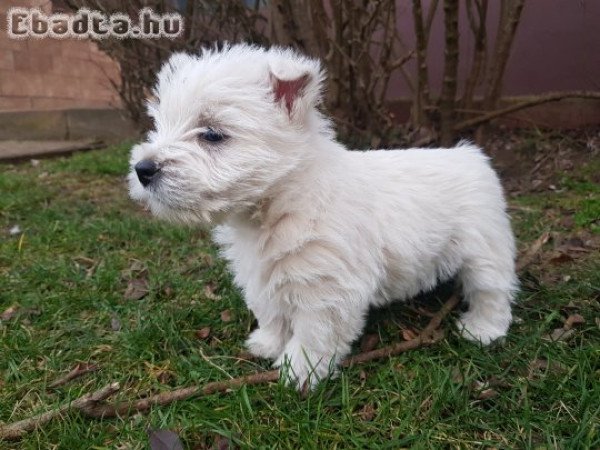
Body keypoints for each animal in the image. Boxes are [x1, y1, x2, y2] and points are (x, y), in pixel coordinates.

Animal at [129, 44, 516, 390]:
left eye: (211, 134)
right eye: (159, 124)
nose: (142, 169)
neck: (279, 204)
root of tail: (470, 155)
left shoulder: (325, 290)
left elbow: (313, 335)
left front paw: (297, 373)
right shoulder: (262, 274)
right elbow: (270, 312)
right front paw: (267, 344)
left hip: (485, 249)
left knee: (493, 291)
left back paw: (482, 329)